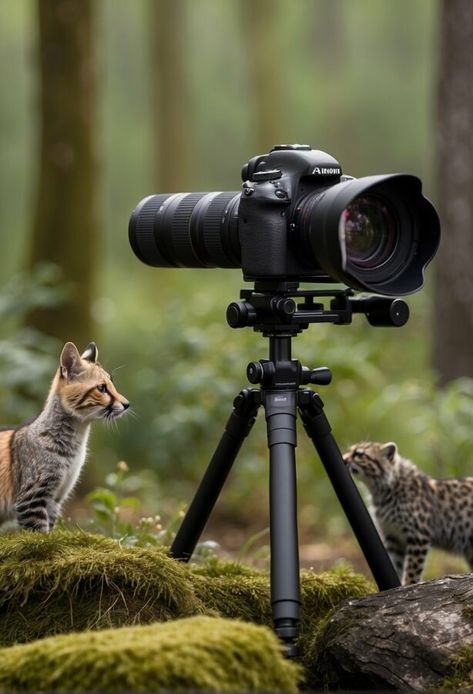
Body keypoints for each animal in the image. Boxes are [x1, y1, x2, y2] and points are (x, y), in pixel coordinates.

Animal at [0, 342, 128, 532]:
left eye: (112, 384)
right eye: (101, 388)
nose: (127, 404)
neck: (77, 440)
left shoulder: (56, 498)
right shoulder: (31, 498)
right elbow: (40, 533)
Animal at [342, 444, 472, 584]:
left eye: (359, 454)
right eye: (348, 451)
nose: (343, 459)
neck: (380, 491)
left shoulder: (418, 536)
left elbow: (412, 569)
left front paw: (409, 585)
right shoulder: (392, 537)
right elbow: (396, 565)